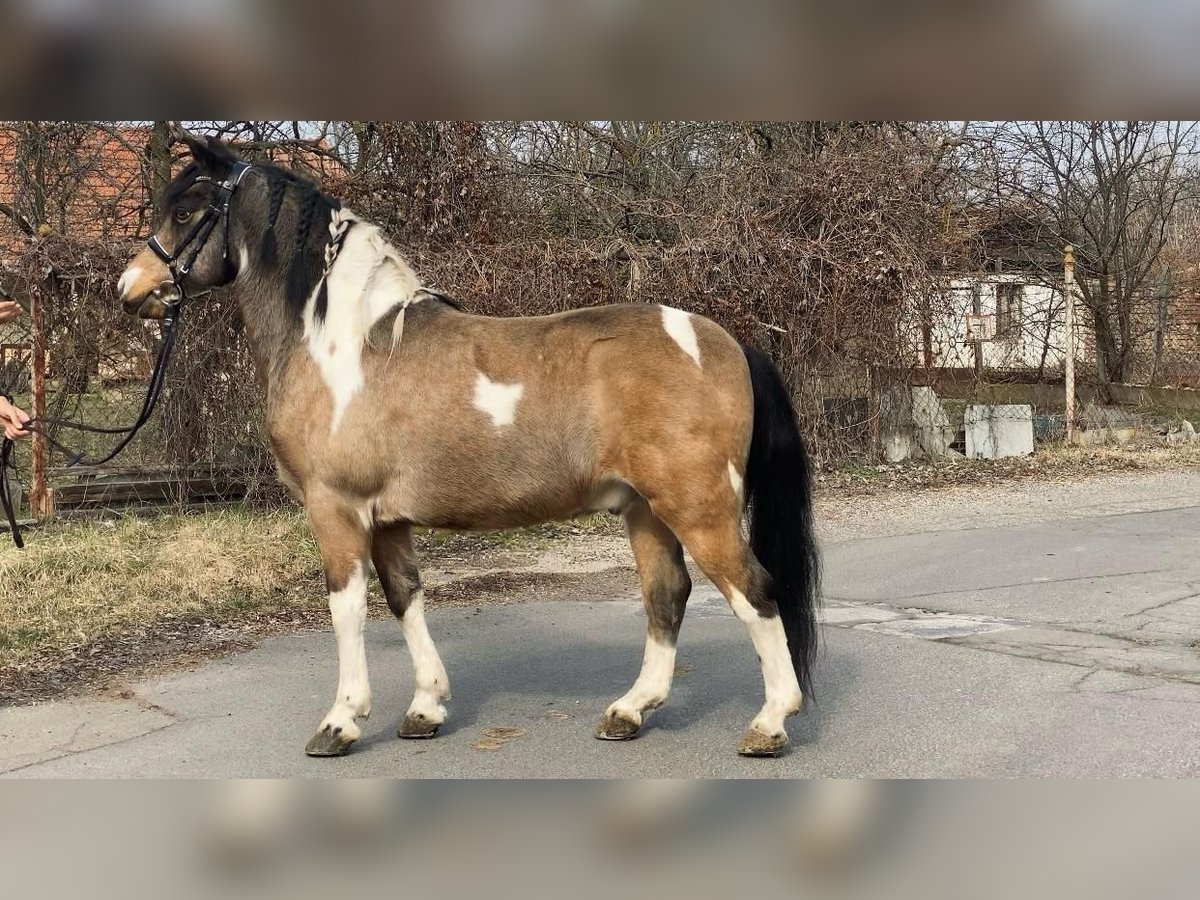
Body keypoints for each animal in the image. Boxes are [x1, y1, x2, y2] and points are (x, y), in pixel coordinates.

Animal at [117, 137, 820, 763]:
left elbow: (347, 608)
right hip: (645, 509)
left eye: (188, 211)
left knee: (755, 591)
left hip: (698, 507)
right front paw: (425, 708)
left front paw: (341, 721)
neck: (343, 344)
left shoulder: (336, 508)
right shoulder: (387, 519)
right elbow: (405, 597)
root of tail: (726, 342)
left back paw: (769, 724)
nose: (130, 290)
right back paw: (628, 712)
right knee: (666, 595)